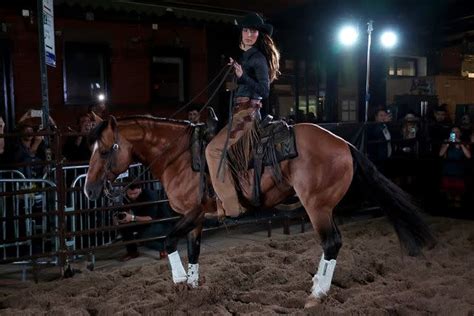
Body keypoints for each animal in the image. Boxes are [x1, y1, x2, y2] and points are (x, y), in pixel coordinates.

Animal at [84, 115, 434, 308]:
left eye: (105, 150)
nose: (88, 190)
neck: (180, 156)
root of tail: (345, 144)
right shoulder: (196, 219)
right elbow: (193, 251)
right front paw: (193, 292)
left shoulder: (192, 213)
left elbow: (170, 242)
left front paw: (180, 281)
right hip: (324, 206)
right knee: (331, 244)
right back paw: (316, 286)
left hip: (317, 206)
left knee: (331, 242)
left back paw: (317, 294)